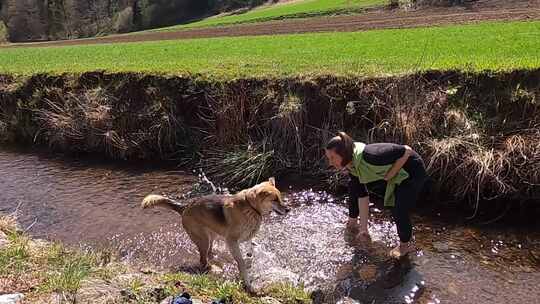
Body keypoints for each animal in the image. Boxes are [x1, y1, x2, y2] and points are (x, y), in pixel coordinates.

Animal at [141, 177, 288, 290]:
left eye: (280, 197)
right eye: (274, 199)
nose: (288, 209)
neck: (251, 208)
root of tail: (185, 207)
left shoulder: (247, 237)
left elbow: (250, 249)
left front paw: (249, 260)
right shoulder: (231, 240)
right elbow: (240, 261)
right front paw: (247, 282)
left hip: (212, 236)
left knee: (210, 253)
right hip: (203, 240)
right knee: (203, 260)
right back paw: (214, 269)